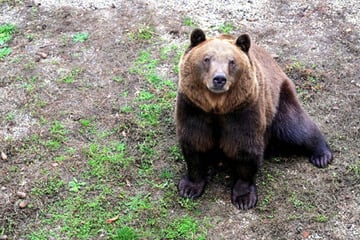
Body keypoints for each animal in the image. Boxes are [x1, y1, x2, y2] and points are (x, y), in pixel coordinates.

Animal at [174, 28, 332, 209]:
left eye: (232, 61)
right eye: (206, 59)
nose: (219, 79)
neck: (217, 106)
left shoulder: (243, 111)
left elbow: (245, 149)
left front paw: (244, 198)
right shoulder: (193, 108)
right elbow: (195, 142)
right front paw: (189, 188)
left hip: (278, 101)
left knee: (294, 128)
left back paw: (321, 155)